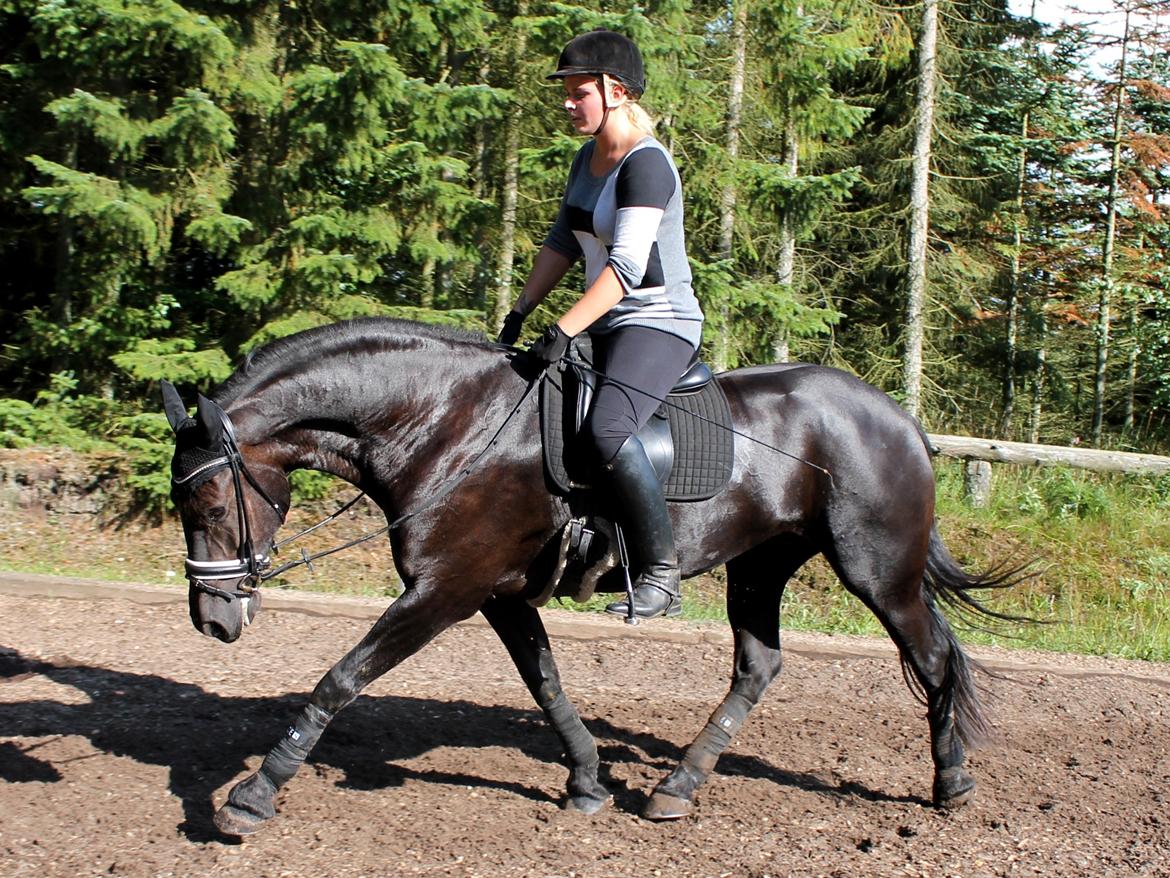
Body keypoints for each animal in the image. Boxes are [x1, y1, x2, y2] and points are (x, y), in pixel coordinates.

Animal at [162, 318, 1015, 838]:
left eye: (209, 499)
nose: (214, 619)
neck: (442, 422)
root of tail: (899, 419)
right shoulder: (497, 593)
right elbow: (546, 684)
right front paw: (586, 781)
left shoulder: (444, 592)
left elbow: (340, 679)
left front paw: (253, 795)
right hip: (760, 564)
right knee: (759, 665)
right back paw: (676, 788)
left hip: (877, 570)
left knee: (935, 660)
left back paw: (951, 784)